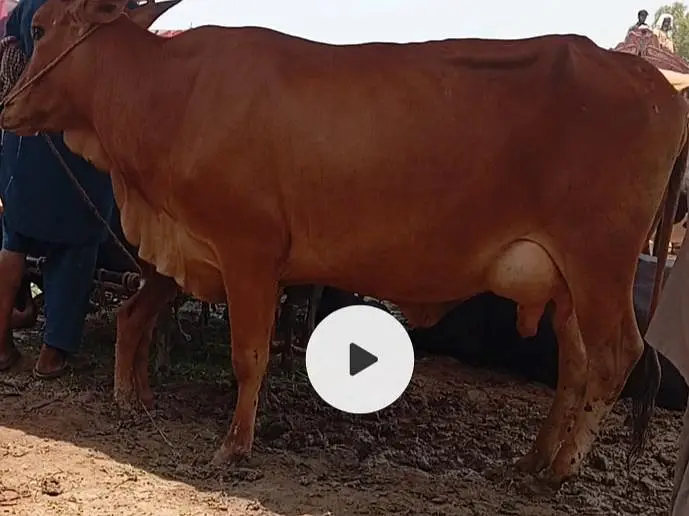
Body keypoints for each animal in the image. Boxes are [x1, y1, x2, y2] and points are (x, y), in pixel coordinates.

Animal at [1, 0, 687, 485]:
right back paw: (535, 460)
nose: (6, 107)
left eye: (39, 25)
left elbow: (248, 356)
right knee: (576, 366)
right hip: (567, 284)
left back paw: (563, 469)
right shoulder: (184, 252)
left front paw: (235, 445)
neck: (173, 95)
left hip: (600, 267)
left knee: (615, 359)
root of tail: (650, 83)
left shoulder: (249, 251)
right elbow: (138, 316)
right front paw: (132, 398)